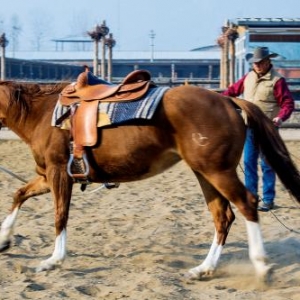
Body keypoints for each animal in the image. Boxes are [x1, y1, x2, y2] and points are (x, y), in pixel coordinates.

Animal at [0, 80, 300, 282]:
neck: (42, 113)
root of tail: (228, 101)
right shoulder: (46, 177)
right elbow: (19, 194)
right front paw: (4, 239)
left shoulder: (59, 173)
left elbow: (60, 215)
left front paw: (53, 260)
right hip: (205, 173)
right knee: (223, 216)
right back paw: (203, 268)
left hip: (218, 171)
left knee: (247, 203)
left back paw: (261, 265)